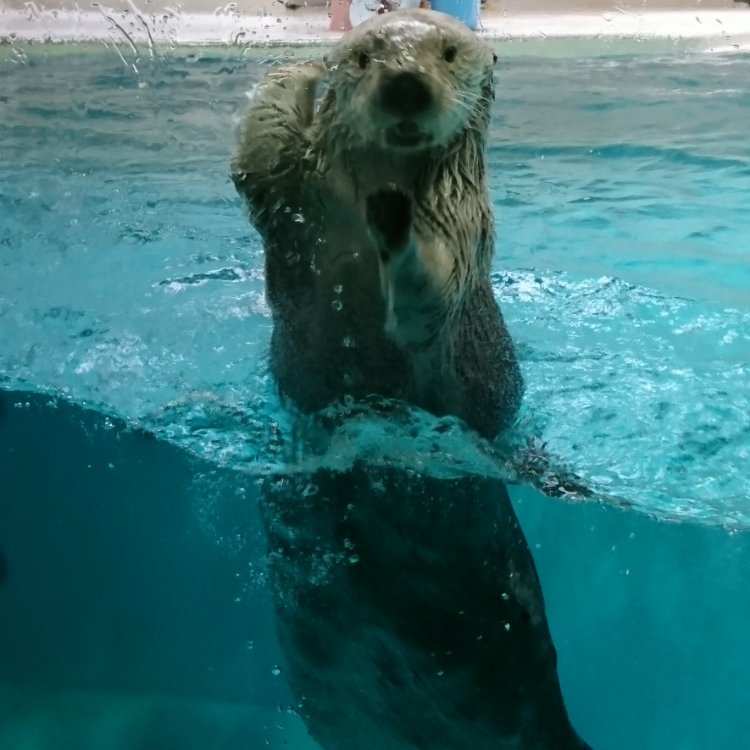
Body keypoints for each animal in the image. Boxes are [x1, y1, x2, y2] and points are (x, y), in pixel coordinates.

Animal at [232, 7, 596, 750]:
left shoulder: (462, 224)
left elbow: (430, 291)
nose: (405, 82)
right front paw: (299, 69)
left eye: (450, 52)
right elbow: (259, 157)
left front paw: (395, 219)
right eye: (364, 55)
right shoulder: (291, 193)